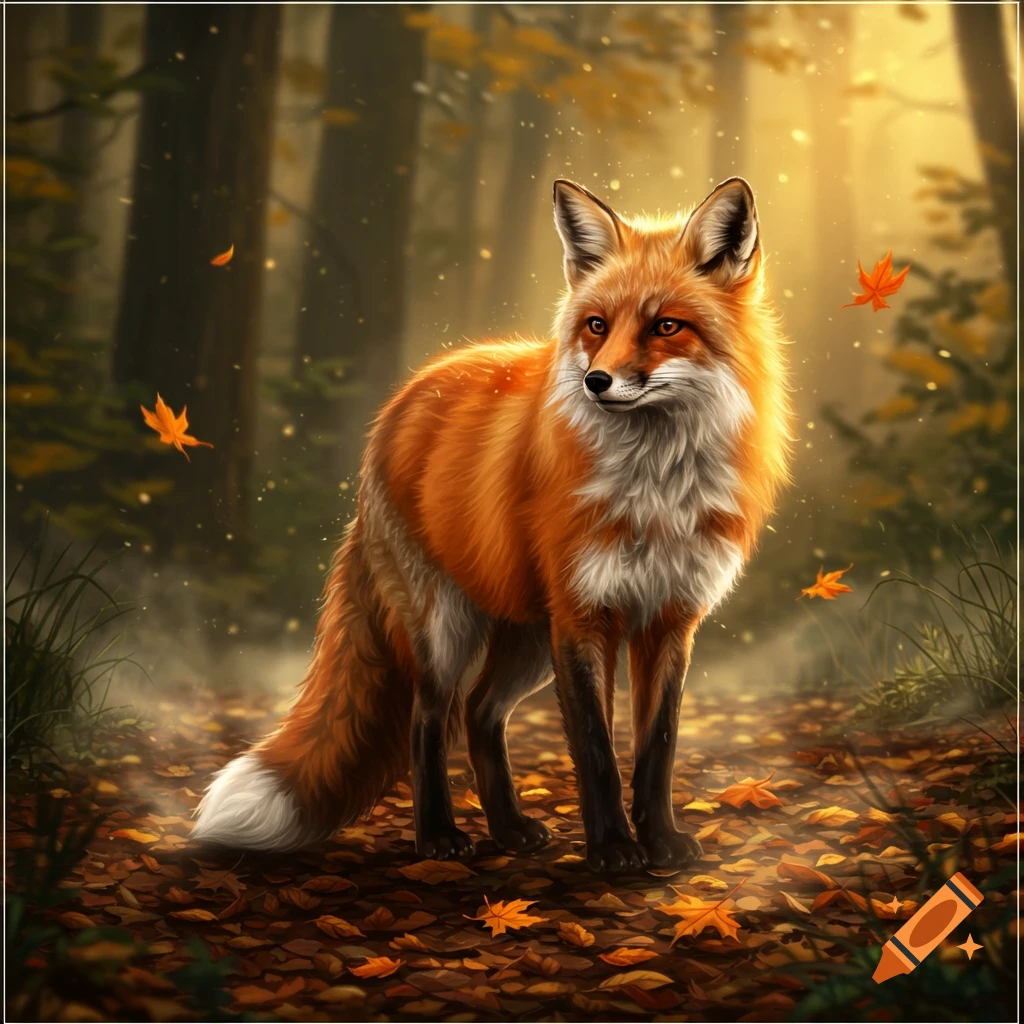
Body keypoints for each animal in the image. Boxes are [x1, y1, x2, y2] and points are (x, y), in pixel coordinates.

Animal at [192, 176, 792, 873]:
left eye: (666, 326)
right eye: (597, 325)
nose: (596, 381)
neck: (654, 489)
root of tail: (402, 399)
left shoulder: (669, 619)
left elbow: (657, 748)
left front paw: (661, 842)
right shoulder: (583, 618)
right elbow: (596, 750)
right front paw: (613, 849)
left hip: (527, 637)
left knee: (480, 714)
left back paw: (508, 829)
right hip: (448, 629)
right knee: (431, 720)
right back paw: (438, 836)